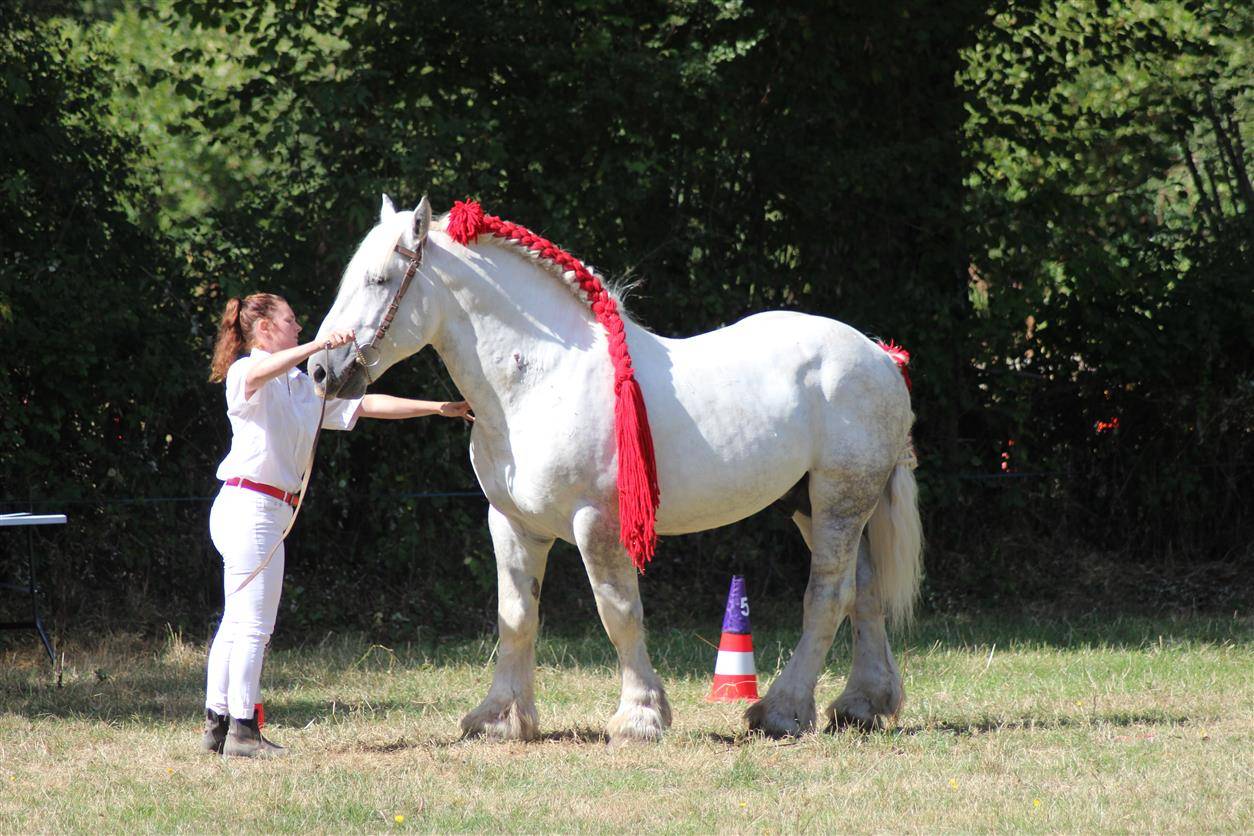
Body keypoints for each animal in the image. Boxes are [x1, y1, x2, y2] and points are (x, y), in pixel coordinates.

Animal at [312, 195, 922, 743]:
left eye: (379, 280)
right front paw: (499, 718)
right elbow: (516, 615)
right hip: (810, 504)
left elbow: (619, 611)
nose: (320, 370)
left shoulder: (596, 522)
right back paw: (862, 704)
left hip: (840, 500)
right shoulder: (511, 523)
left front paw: (640, 718)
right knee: (863, 591)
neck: (540, 377)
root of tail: (879, 355)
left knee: (828, 596)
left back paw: (783, 710)